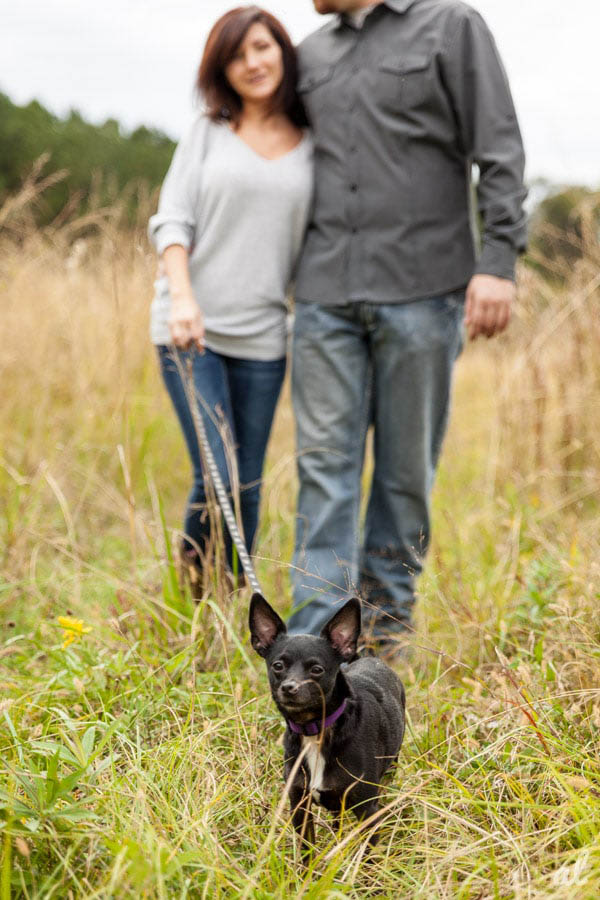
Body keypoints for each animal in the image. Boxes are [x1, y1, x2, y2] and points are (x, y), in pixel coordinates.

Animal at [246, 596, 406, 848]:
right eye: (278, 666)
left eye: (317, 669)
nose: (289, 688)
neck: (315, 730)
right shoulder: (299, 806)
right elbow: (306, 850)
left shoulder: (367, 811)